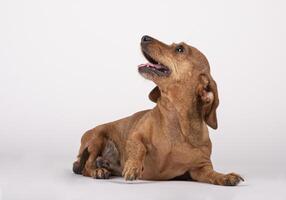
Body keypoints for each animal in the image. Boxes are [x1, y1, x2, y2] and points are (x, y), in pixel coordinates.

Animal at [72, 34, 244, 186]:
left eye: (180, 49)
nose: (144, 37)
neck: (175, 121)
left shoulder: (200, 168)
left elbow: (212, 174)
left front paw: (226, 177)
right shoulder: (135, 135)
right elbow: (139, 147)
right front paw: (133, 166)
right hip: (96, 138)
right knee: (86, 165)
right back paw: (98, 170)